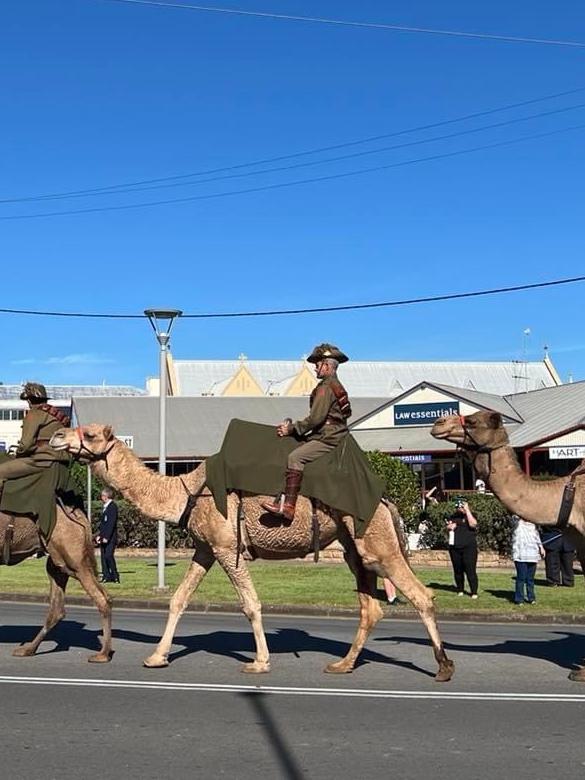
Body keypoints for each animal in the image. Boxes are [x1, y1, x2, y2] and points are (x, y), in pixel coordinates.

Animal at [0, 502, 112, 660]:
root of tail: (79, 514)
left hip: (72, 556)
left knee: (101, 596)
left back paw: (102, 655)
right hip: (57, 560)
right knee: (57, 607)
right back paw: (28, 649)